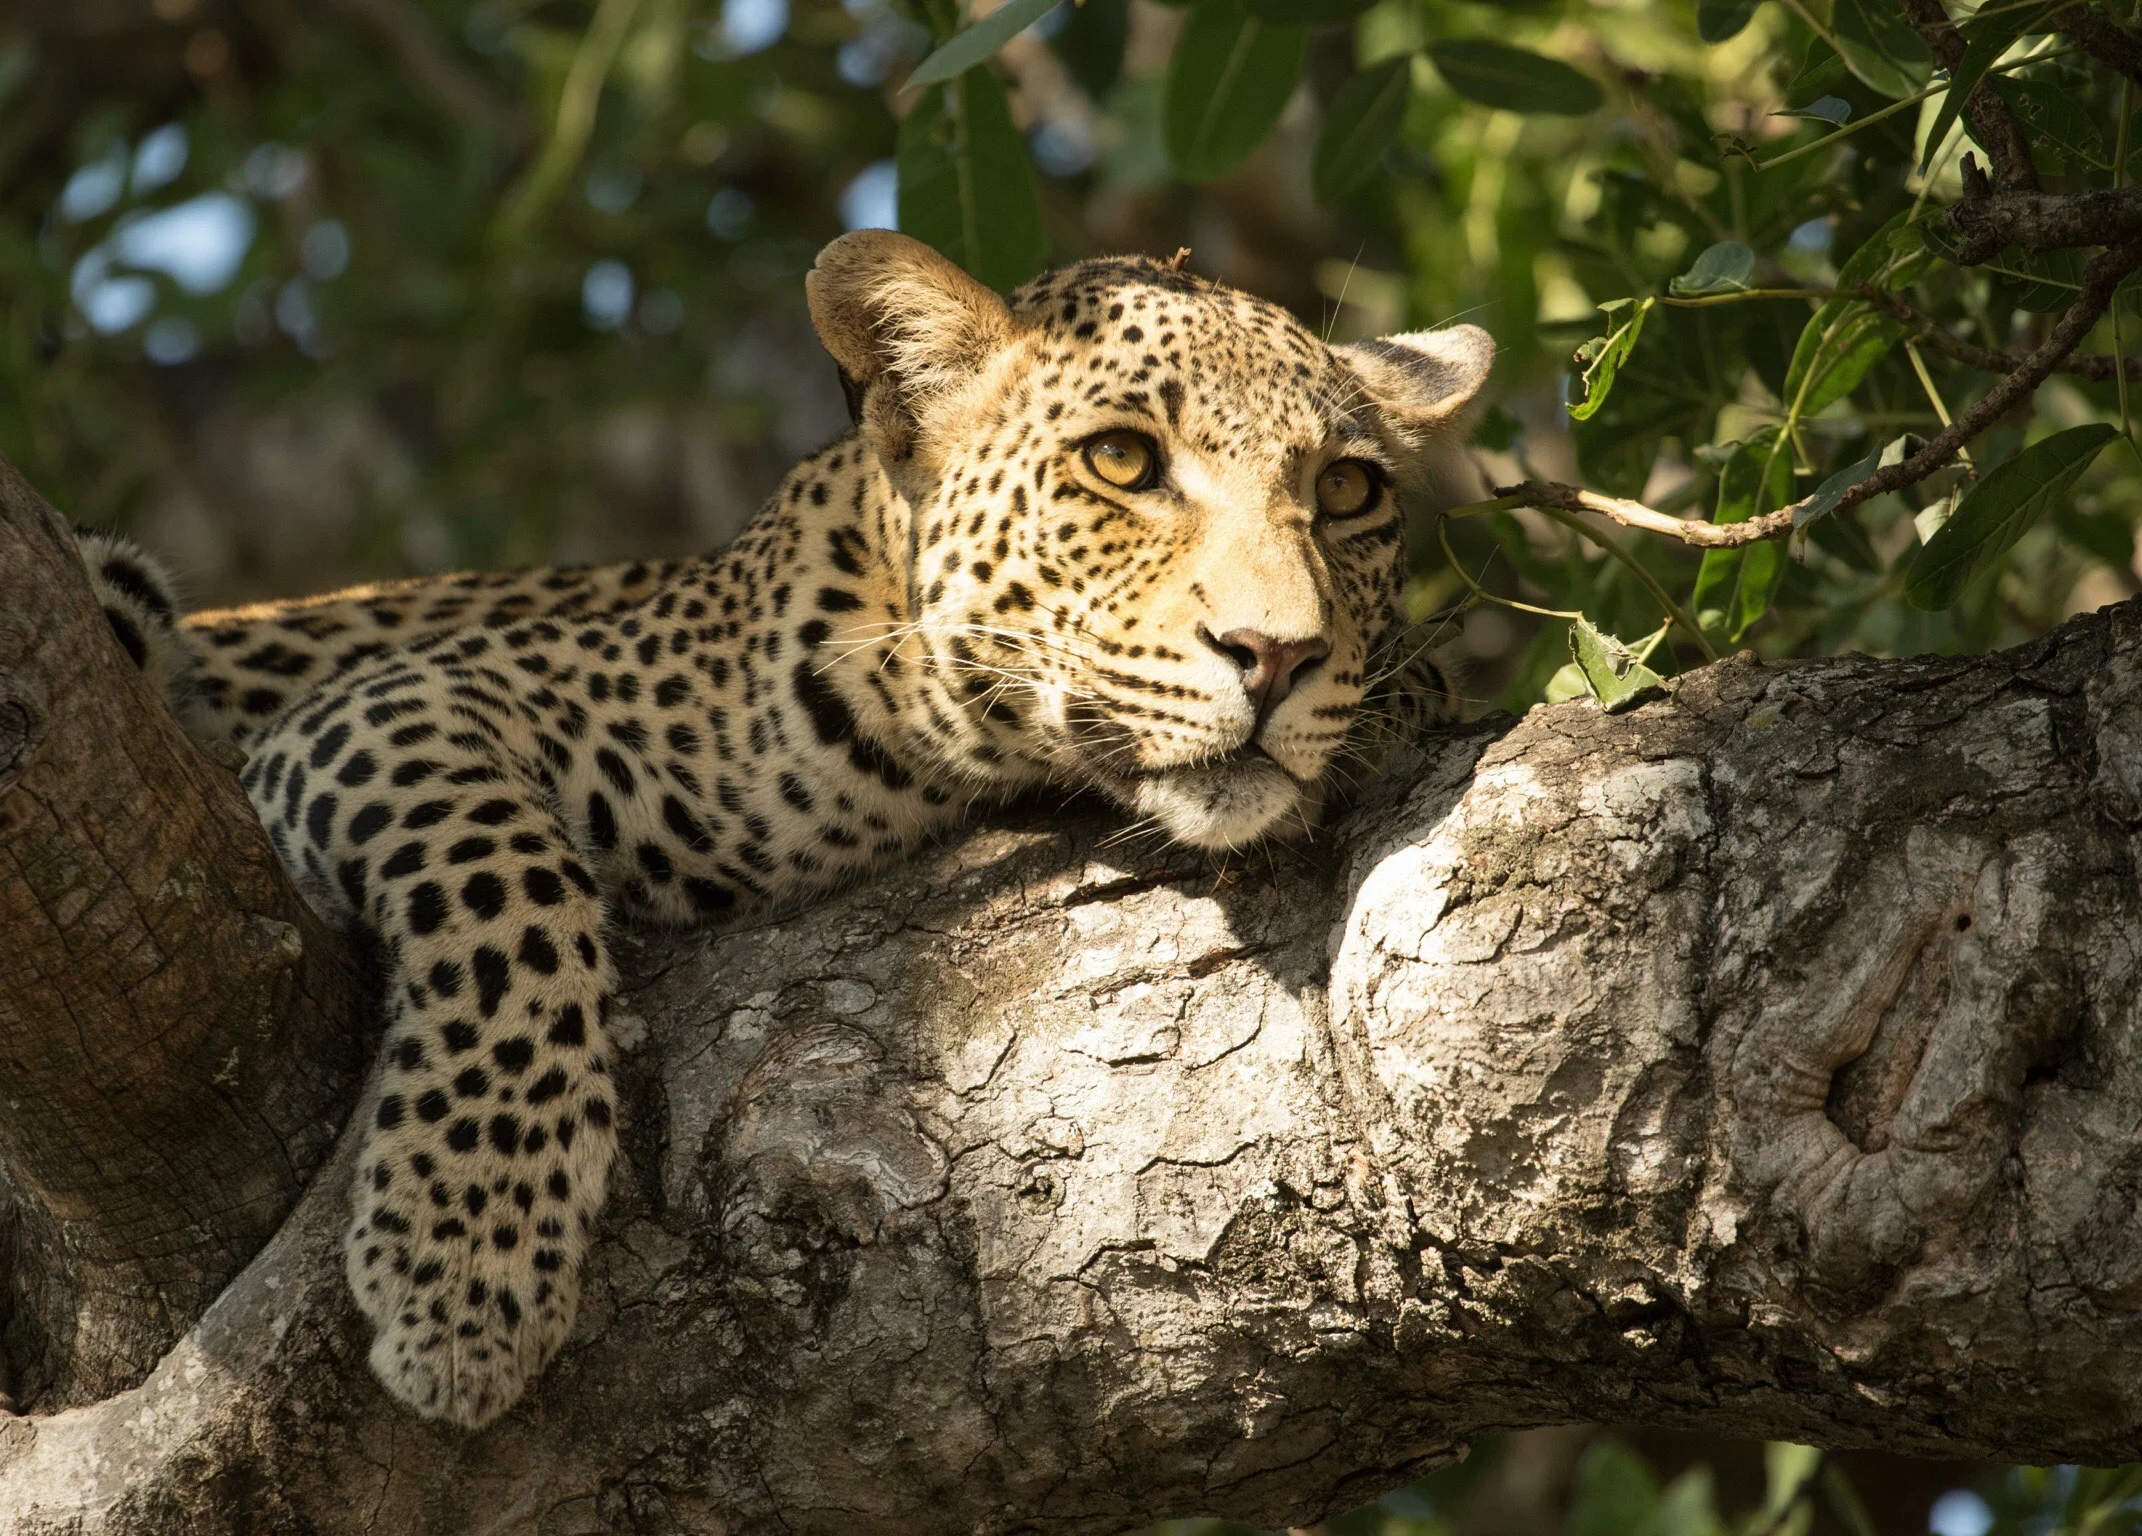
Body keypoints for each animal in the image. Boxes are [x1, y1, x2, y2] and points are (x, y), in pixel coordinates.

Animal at [70, 230, 1493, 1430]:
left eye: (1349, 490)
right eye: (1122, 462)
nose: (1279, 654)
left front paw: (1395, 690)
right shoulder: (401, 700)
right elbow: (505, 898)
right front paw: (465, 1259)